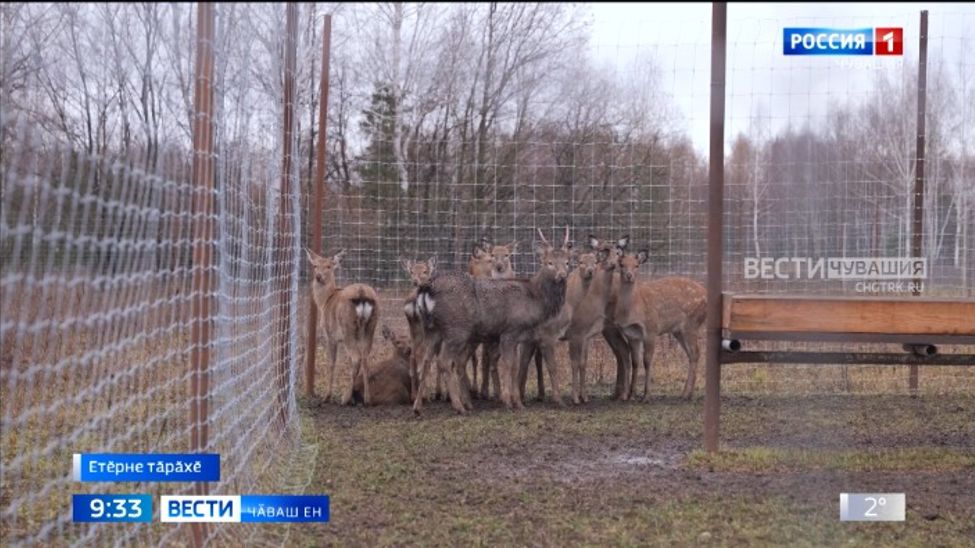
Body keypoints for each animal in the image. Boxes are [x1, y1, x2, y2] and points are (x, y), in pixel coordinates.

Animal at [306, 247, 380, 402]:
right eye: (315, 265)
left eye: (328, 266)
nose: (318, 276)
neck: (324, 302)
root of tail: (362, 293)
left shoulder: (330, 335)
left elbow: (332, 362)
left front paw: (327, 396)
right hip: (370, 327)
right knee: (365, 357)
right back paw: (367, 398)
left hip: (348, 329)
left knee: (356, 358)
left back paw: (345, 398)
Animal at [414, 229, 572, 414]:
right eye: (549, 263)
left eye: (567, 262)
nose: (562, 275)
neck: (535, 299)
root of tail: (427, 289)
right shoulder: (510, 331)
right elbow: (509, 365)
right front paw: (511, 402)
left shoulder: (516, 337)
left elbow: (515, 366)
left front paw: (516, 402)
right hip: (456, 330)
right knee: (444, 362)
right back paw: (459, 406)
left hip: (432, 329)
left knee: (426, 361)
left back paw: (418, 407)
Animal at [612, 248, 704, 398]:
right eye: (621, 264)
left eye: (637, 265)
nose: (629, 276)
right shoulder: (632, 335)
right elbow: (635, 362)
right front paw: (631, 394)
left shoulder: (651, 329)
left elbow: (647, 361)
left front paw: (646, 395)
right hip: (678, 331)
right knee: (691, 354)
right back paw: (686, 393)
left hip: (692, 323)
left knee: (696, 352)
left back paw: (686, 394)